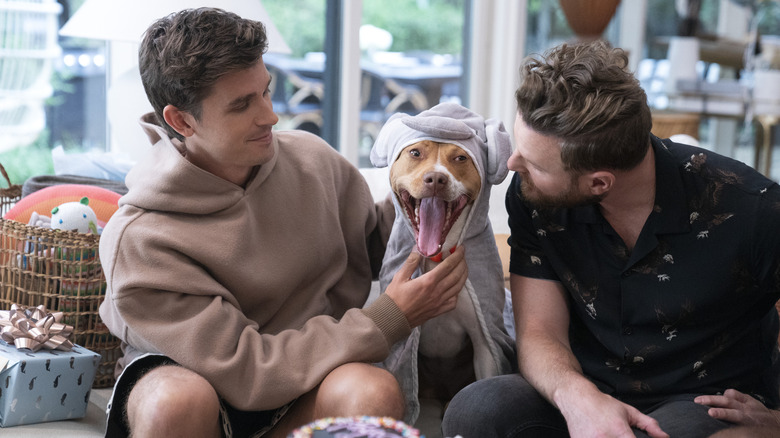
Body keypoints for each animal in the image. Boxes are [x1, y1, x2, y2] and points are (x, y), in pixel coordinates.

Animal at [368, 102, 516, 424]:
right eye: (415, 153)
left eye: (460, 158)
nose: (436, 179)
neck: (436, 258)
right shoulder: (400, 345)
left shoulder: (484, 342)